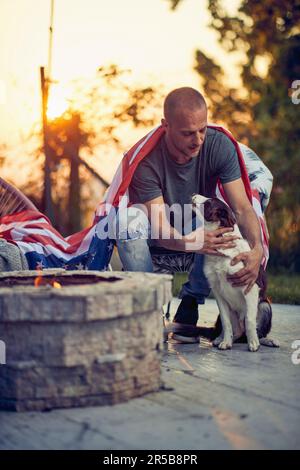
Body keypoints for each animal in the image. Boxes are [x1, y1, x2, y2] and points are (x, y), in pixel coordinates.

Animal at [192, 193, 278, 350]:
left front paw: (253, 343)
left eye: (208, 203)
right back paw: (221, 339)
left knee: (256, 329)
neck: (221, 253)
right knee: (236, 330)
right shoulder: (218, 292)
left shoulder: (250, 288)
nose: (194, 195)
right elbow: (226, 323)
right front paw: (226, 342)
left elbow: (249, 320)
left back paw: (266, 340)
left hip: (264, 306)